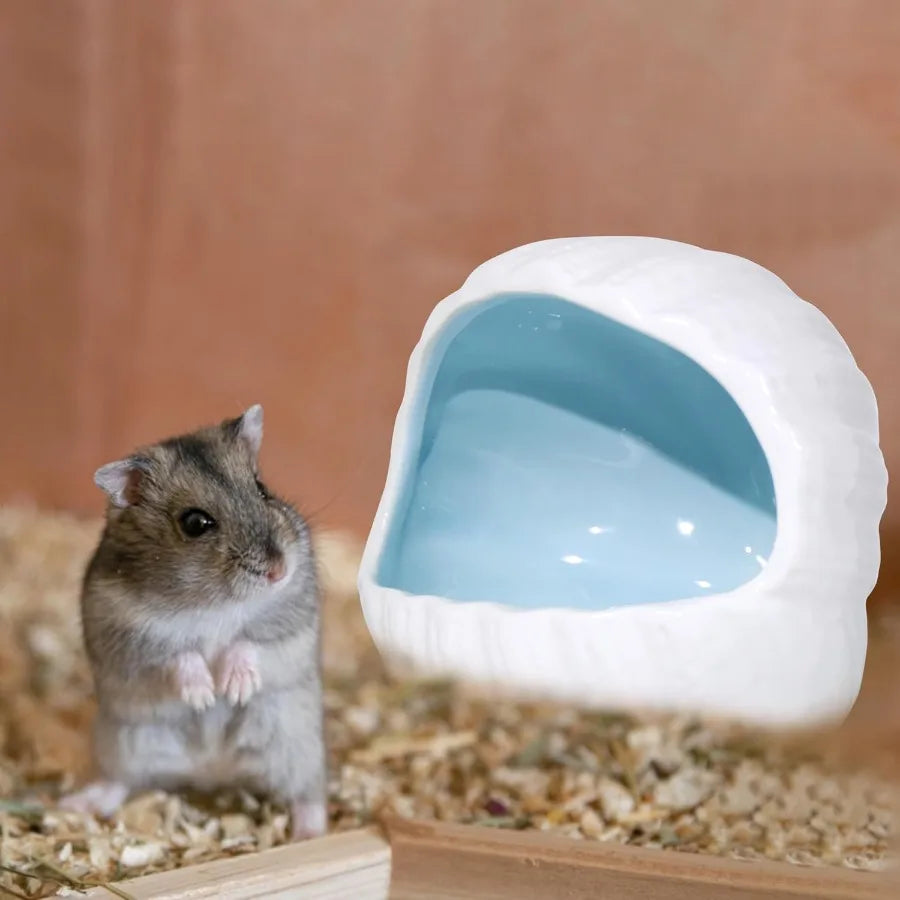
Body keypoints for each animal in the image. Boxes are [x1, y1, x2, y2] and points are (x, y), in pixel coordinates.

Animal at [60, 405, 326, 841]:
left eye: (262, 488)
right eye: (195, 523)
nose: (278, 570)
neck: (213, 601)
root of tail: (212, 771)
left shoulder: (291, 619)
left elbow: (249, 642)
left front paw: (233, 689)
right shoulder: (128, 636)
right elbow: (177, 655)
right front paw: (204, 695)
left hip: (297, 745)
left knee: (309, 794)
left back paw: (309, 835)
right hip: (124, 743)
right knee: (119, 782)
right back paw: (75, 804)